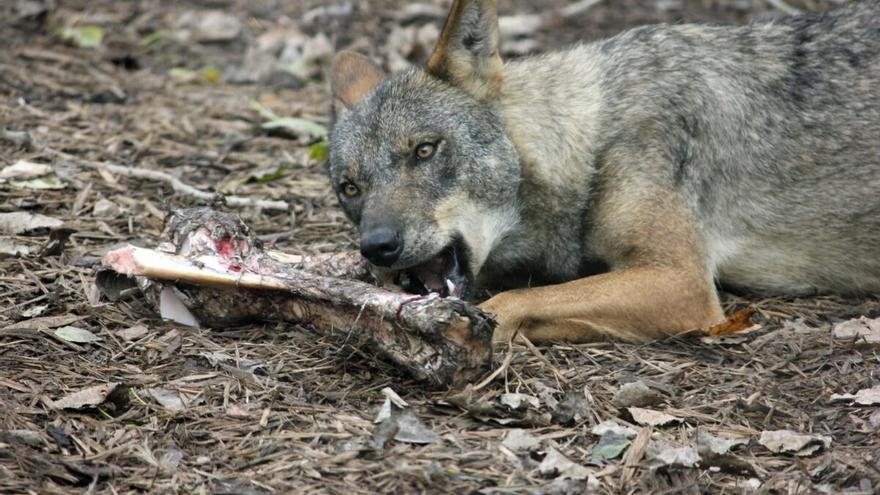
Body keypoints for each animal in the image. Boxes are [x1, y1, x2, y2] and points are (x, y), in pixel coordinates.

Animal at [326, 0, 880, 344]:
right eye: (350, 188)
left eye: (424, 151)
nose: (377, 247)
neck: (593, 139)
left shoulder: (681, 281)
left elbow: (513, 300)